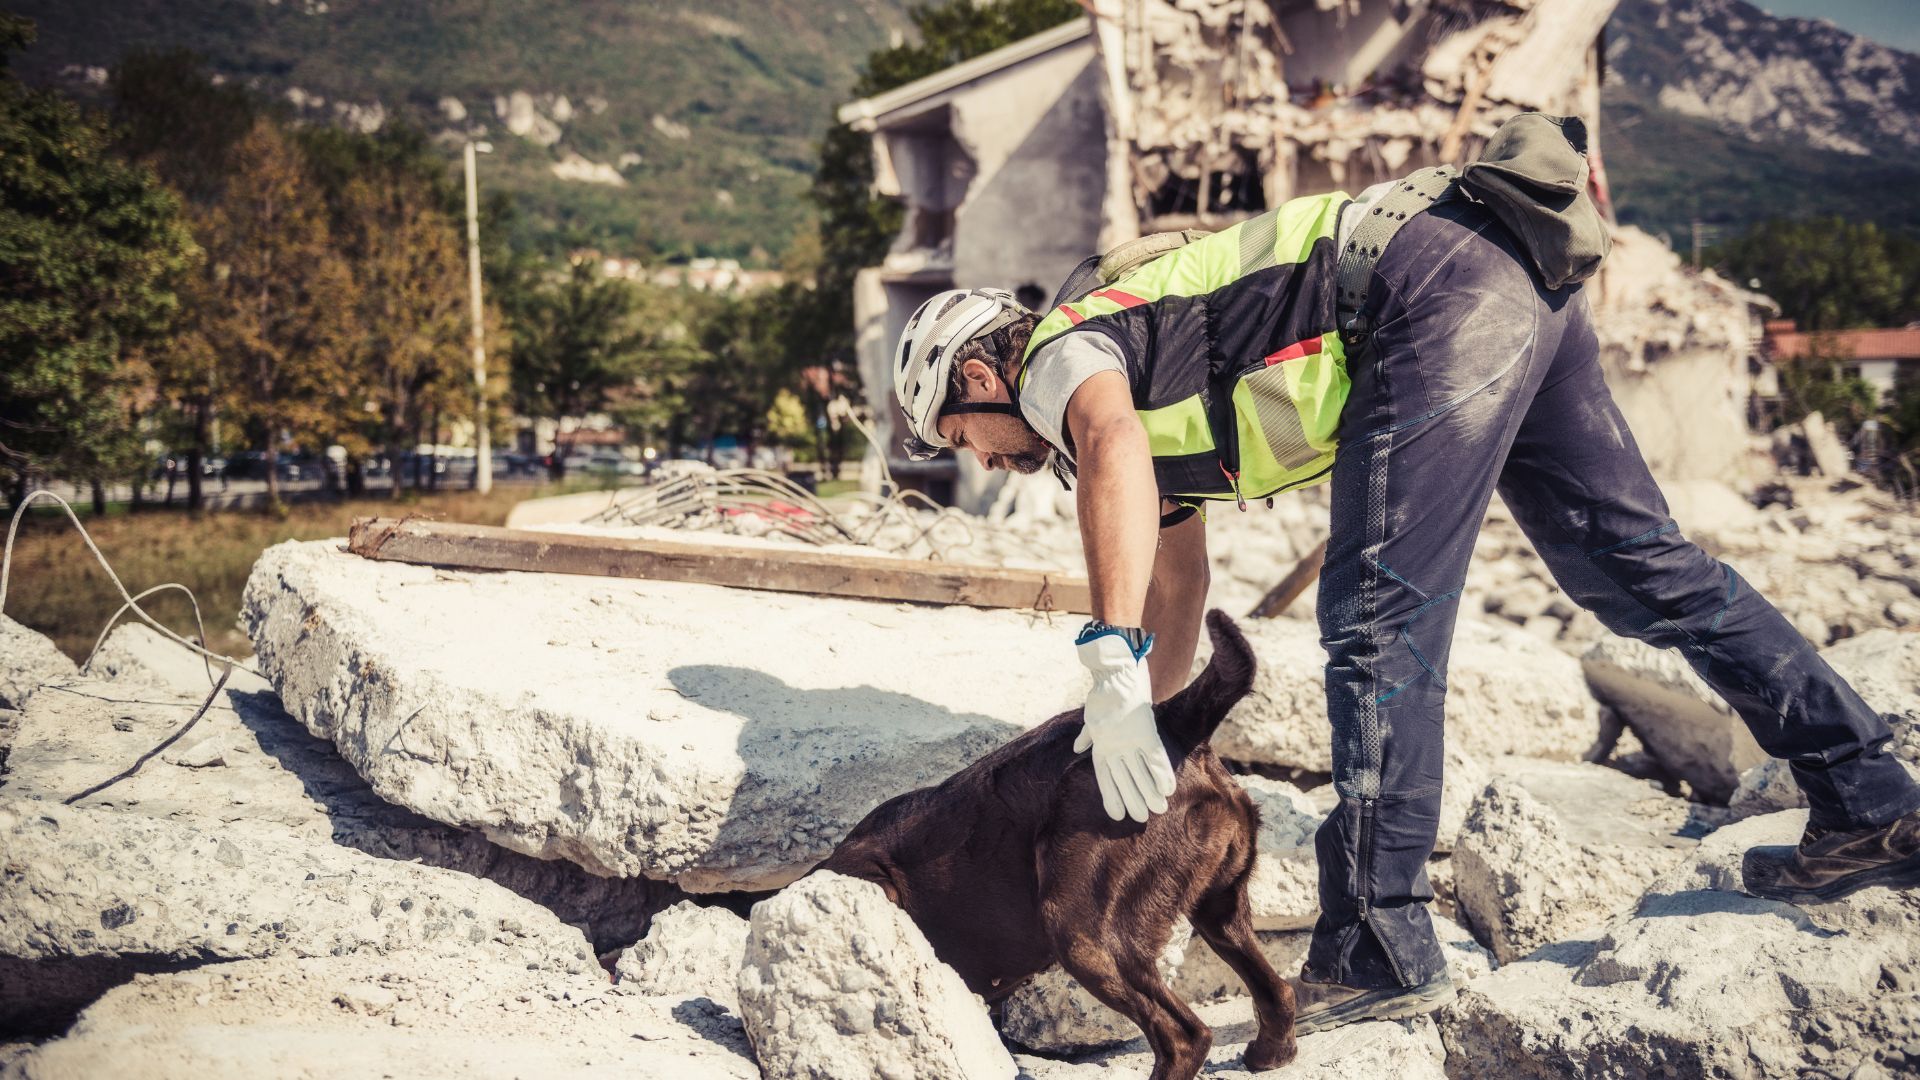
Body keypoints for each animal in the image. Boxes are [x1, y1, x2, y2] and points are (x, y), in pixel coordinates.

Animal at [815, 609, 1296, 1079]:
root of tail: (1174, 724)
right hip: (1220, 909)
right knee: (1278, 993)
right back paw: (1268, 1053)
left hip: (1082, 932)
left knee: (1183, 1037)